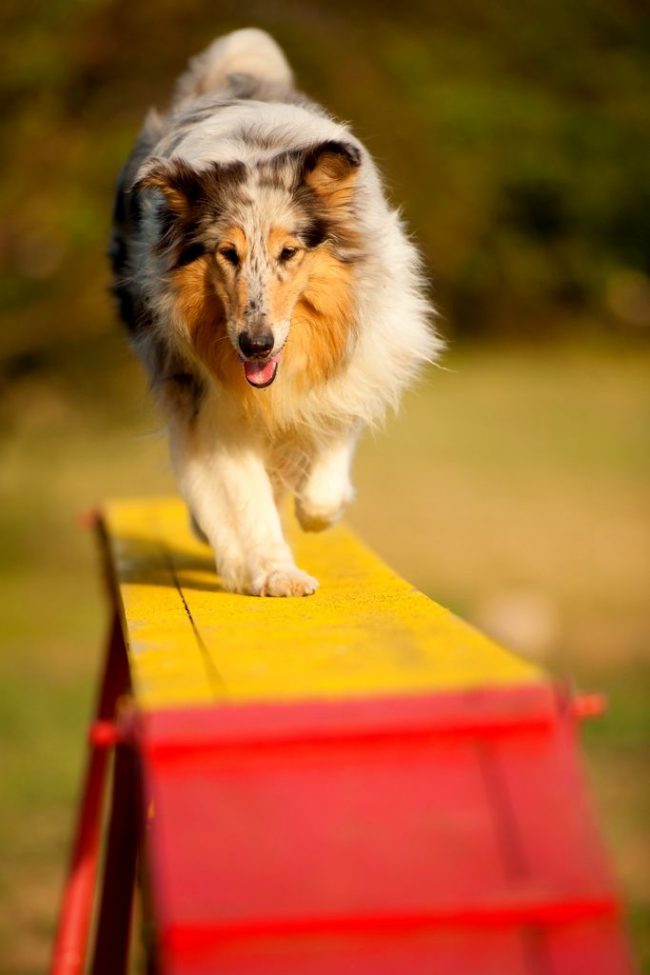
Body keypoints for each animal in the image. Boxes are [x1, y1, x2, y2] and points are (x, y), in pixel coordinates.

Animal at [110, 28, 440, 596]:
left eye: (289, 252)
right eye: (227, 253)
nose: (255, 345)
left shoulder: (356, 362)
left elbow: (327, 449)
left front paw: (317, 509)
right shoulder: (211, 403)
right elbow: (243, 496)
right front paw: (273, 571)